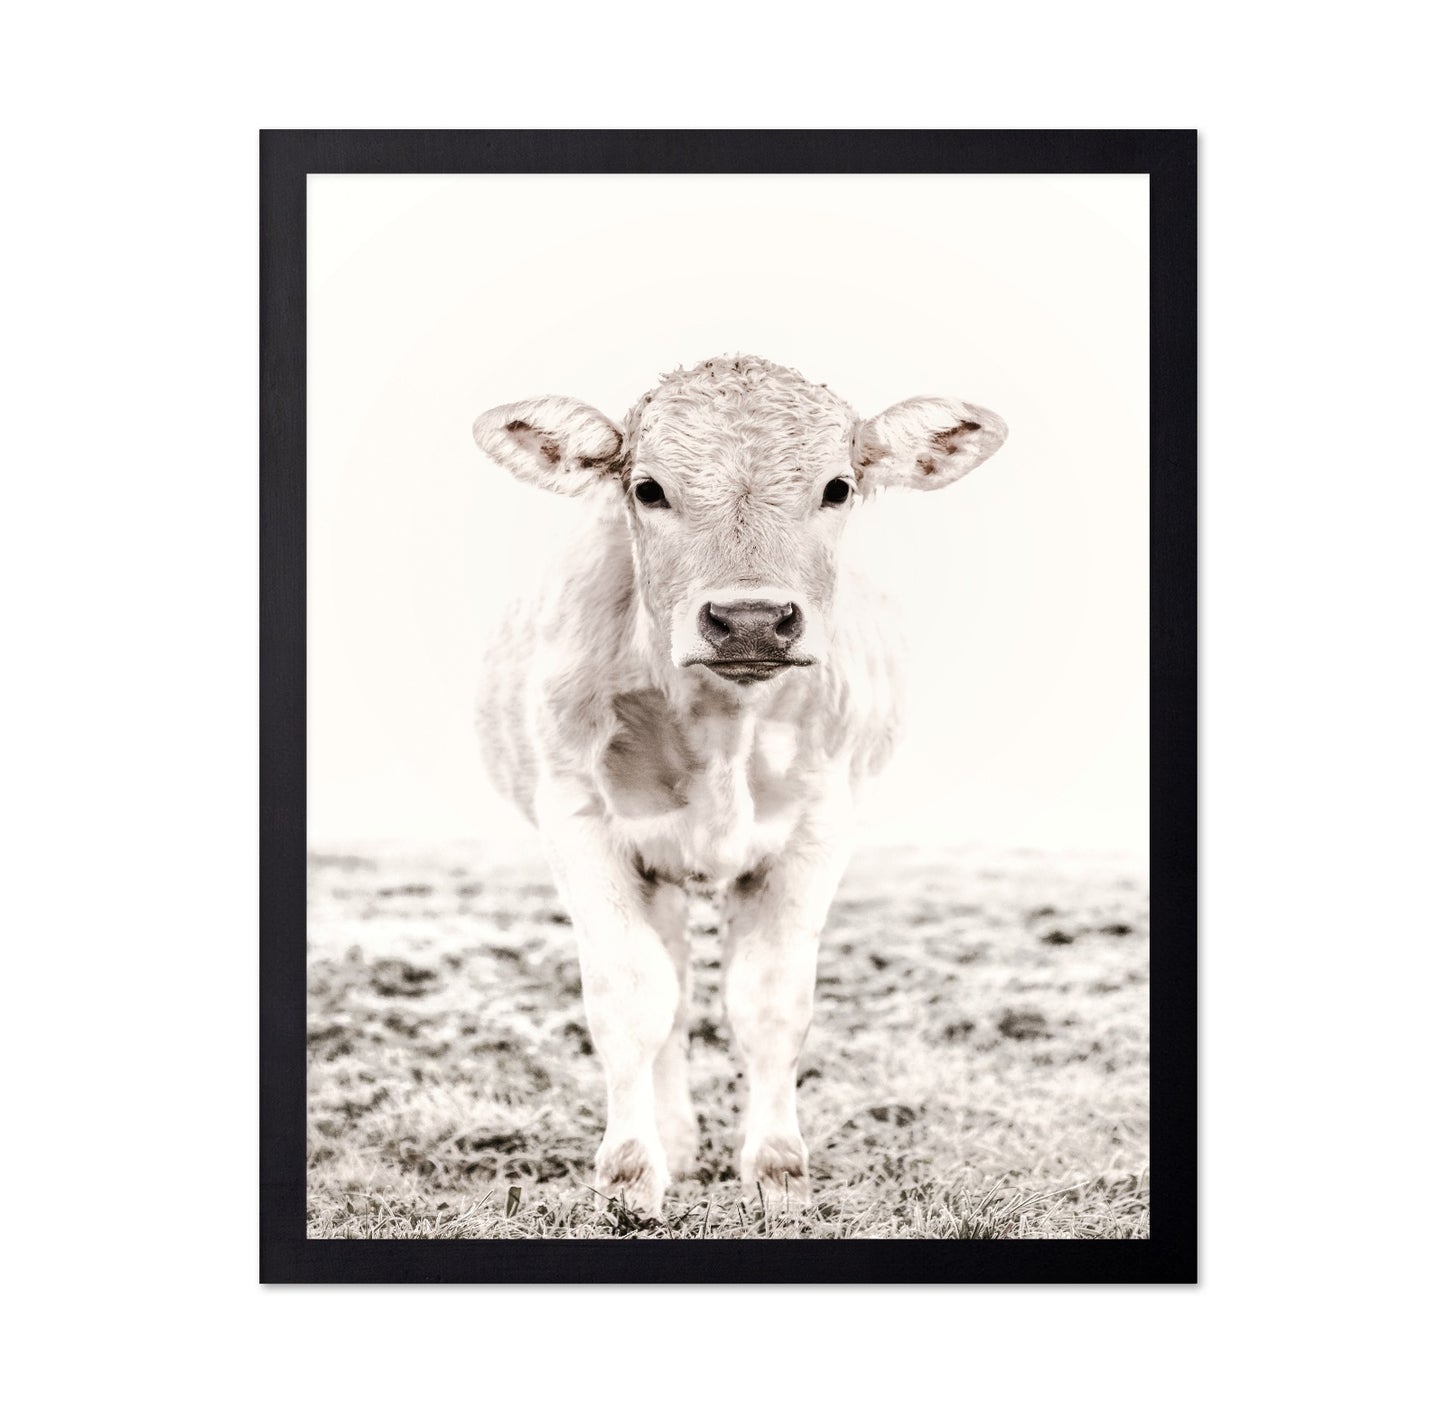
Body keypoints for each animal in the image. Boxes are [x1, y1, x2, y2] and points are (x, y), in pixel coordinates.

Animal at [472, 355, 1007, 1216]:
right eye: (647, 488)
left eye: (837, 487)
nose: (750, 619)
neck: (723, 725)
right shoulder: (579, 820)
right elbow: (631, 997)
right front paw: (631, 1170)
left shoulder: (818, 829)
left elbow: (770, 1001)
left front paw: (778, 1170)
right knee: (672, 995)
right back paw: (675, 1139)